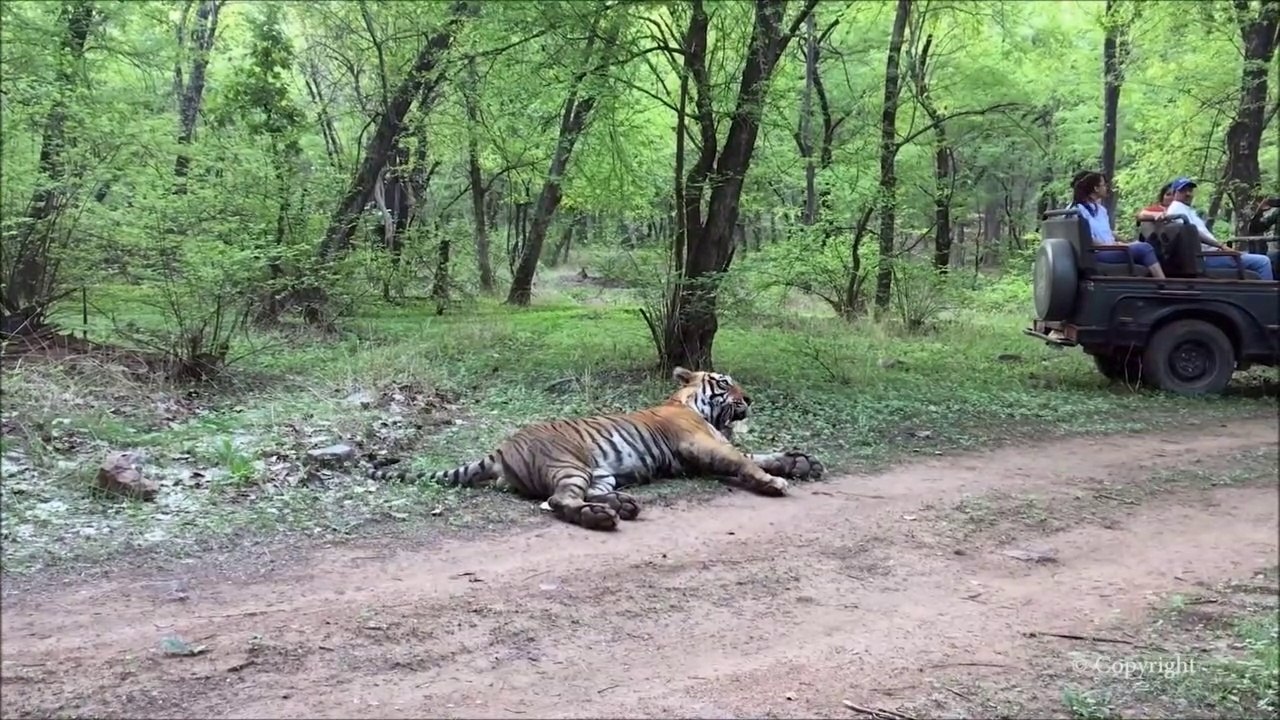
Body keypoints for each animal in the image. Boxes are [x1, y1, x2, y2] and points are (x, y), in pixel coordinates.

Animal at [369, 366, 825, 531]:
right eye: (726, 383)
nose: (750, 399)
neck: (690, 404)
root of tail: (500, 448)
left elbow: (760, 454)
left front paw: (802, 462)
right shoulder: (702, 446)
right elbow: (747, 464)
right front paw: (776, 482)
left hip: (600, 473)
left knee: (581, 495)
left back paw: (623, 505)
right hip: (569, 464)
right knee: (559, 501)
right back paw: (602, 517)